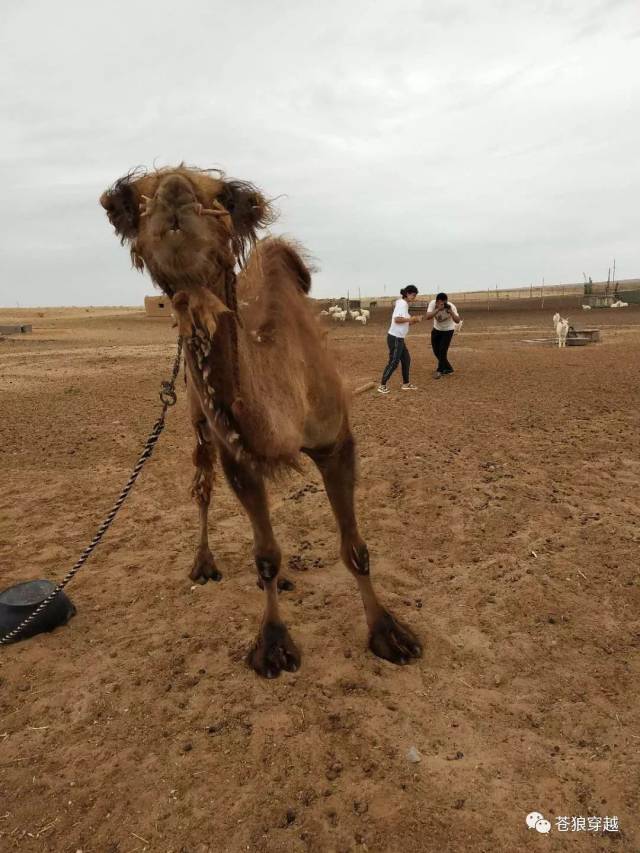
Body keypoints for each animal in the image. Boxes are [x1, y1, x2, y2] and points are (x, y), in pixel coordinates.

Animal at [99, 163, 420, 676]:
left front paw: (389, 634)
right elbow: (265, 554)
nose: (174, 193)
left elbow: (356, 549)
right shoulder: (239, 455)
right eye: (132, 201)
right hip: (196, 418)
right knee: (202, 486)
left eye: (227, 198)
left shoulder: (335, 441)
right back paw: (204, 563)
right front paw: (272, 644)